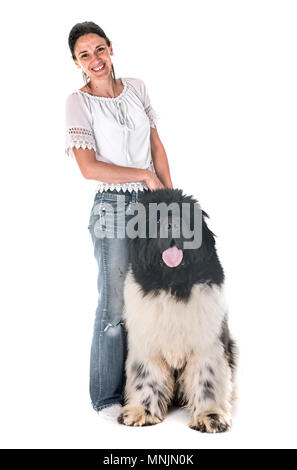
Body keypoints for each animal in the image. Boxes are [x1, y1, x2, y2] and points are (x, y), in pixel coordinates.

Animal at [117, 189, 236, 432]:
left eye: (184, 216)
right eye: (157, 219)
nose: (173, 225)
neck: (172, 282)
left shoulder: (208, 342)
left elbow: (207, 379)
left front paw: (211, 415)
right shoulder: (146, 342)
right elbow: (146, 377)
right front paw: (141, 411)